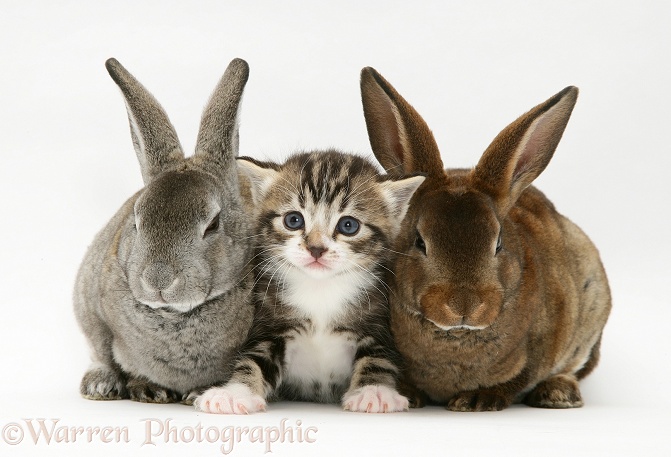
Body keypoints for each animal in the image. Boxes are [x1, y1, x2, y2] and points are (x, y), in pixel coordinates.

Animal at [75, 57, 256, 402]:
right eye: (136, 221)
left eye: (212, 224)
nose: (157, 280)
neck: (175, 313)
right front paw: (147, 388)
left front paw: (198, 393)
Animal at [196, 151, 426, 414]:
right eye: (294, 220)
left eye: (348, 225)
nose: (316, 248)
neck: (320, 290)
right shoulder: (271, 325)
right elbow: (254, 359)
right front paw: (234, 393)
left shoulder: (378, 322)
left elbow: (378, 358)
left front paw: (374, 391)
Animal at [362, 68, 616, 414]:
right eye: (419, 242)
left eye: (497, 244)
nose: (464, 306)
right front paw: (409, 396)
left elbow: (519, 378)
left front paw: (476, 399)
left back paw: (558, 394)